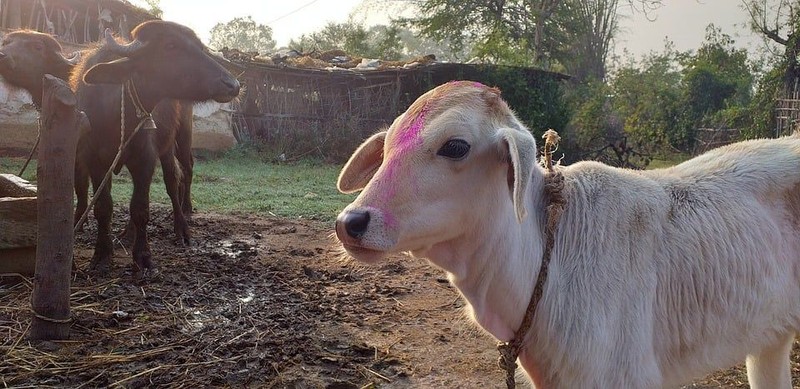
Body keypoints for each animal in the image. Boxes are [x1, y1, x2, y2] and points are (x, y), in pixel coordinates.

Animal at [0, 28, 197, 244]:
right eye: (7, 42)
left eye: (37, 46)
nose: (2, 55)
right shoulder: (83, 153)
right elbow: (81, 186)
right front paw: (79, 220)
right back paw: (132, 231)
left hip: (177, 137)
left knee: (177, 174)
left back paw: (183, 218)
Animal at [70, 20, 239, 276]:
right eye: (170, 46)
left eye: (199, 46)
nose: (233, 84)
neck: (116, 113)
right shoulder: (95, 161)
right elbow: (103, 207)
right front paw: (102, 254)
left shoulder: (145, 158)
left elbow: (141, 208)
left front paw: (143, 256)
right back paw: (128, 233)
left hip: (178, 140)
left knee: (178, 176)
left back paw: (182, 224)